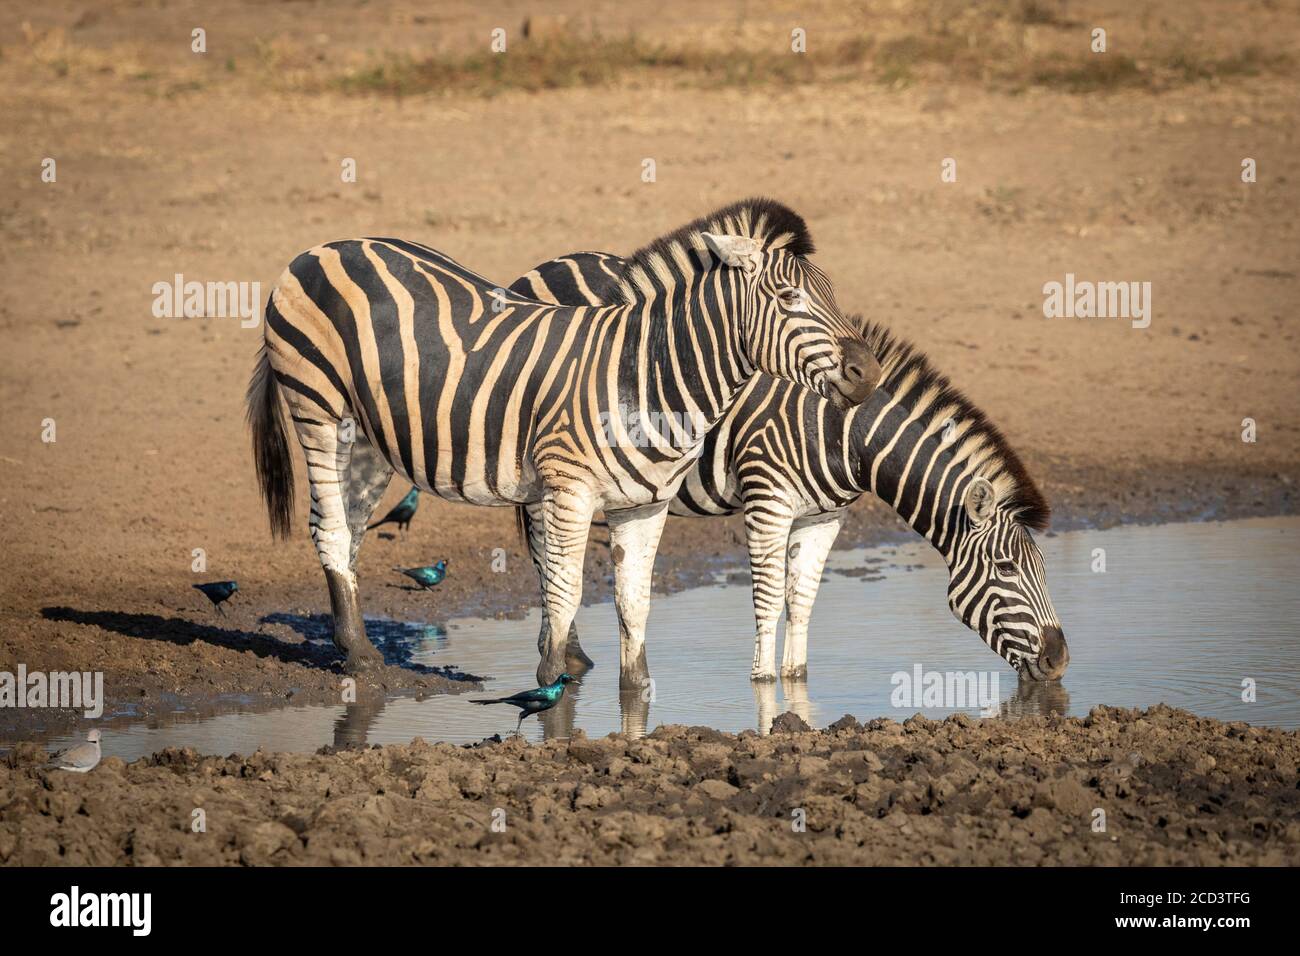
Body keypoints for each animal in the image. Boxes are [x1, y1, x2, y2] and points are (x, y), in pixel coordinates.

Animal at [246, 198, 880, 680]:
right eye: (790, 299)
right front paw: (551, 683)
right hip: (318, 408)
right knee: (329, 527)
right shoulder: (571, 490)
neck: (644, 374)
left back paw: (350, 641)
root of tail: (324, 246)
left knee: (349, 529)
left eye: (830, 292)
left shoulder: (644, 505)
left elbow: (633, 602)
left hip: (372, 437)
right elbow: (565, 588)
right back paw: (358, 658)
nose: (870, 373)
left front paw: (635, 698)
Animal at [509, 251, 1069, 685]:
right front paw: (764, 683)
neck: (844, 430)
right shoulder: (767, 501)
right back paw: (567, 656)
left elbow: (801, 599)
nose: (1060, 660)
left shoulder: (825, 515)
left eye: (1045, 567)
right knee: (544, 556)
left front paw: (797, 680)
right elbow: (769, 599)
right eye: (1006, 568)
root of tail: (540, 267)